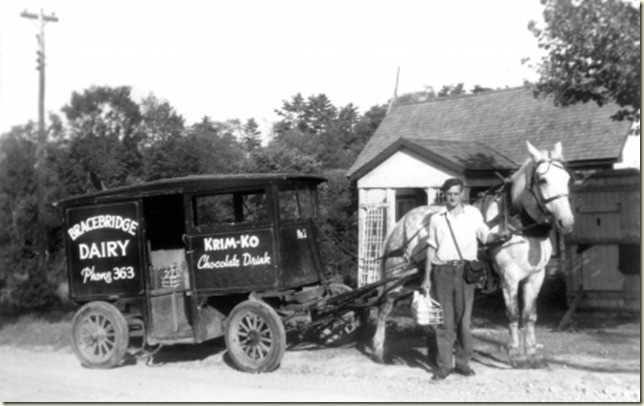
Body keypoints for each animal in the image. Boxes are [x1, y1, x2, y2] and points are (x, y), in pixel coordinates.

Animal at [370, 140, 576, 368]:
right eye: (542, 179)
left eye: (566, 179)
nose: (566, 222)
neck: (519, 226)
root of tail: (399, 222)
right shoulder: (509, 276)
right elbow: (513, 314)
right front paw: (515, 354)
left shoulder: (536, 276)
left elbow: (530, 316)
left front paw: (533, 354)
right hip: (395, 277)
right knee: (384, 306)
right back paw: (379, 351)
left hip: (422, 278)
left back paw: (433, 348)